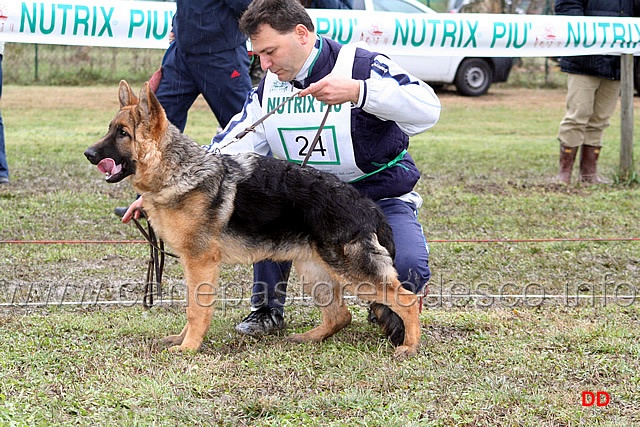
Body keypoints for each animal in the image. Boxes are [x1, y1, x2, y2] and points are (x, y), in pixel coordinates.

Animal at [85, 81, 422, 362]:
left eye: (122, 133)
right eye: (111, 129)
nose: (88, 153)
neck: (177, 170)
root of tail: (366, 205)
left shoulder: (200, 263)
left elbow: (196, 310)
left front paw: (189, 347)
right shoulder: (195, 266)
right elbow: (192, 307)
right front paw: (182, 340)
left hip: (354, 274)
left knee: (408, 300)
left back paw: (410, 346)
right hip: (315, 271)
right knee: (341, 315)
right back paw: (308, 338)